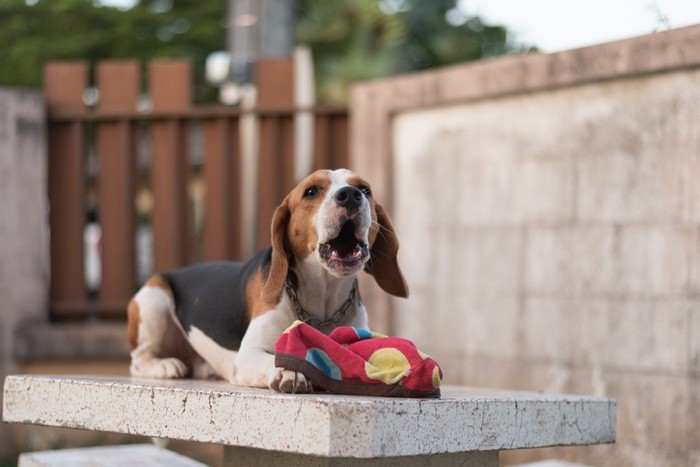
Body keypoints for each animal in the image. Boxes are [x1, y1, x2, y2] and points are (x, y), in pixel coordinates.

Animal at [129, 170, 408, 394]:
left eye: (365, 189)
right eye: (311, 191)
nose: (350, 195)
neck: (323, 300)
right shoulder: (248, 354)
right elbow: (274, 359)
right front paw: (289, 371)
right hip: (154, 298)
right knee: (138, 360)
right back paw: (166, 365)